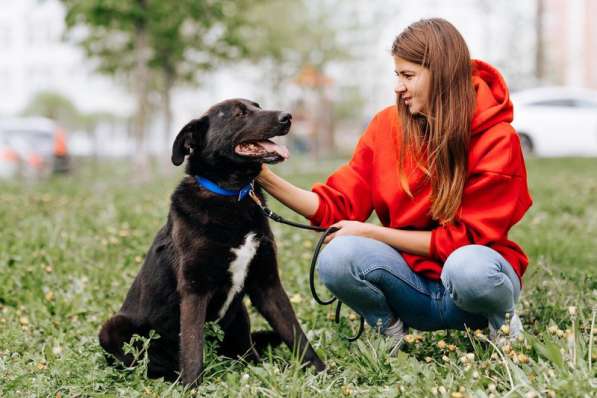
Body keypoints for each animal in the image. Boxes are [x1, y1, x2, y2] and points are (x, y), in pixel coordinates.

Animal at [101, 98, 326, 384]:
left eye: (258, 106)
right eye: (240, 114)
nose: (288, 117)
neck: (232, 193)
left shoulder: (267, 284)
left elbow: (295, 333)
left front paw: (322, 372)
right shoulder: (194, 290)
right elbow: (193, 349)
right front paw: (192, 387)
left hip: (239, 316)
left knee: (247, 351)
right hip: (112, 329)